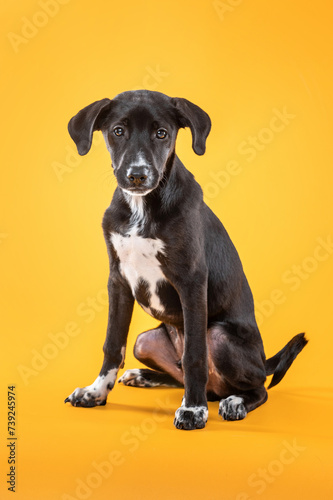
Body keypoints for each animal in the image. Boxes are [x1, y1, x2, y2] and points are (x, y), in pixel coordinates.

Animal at [63, 90, 308, 430]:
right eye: (118, 131)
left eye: (161, 133)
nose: (137, 175)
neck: (141, 208)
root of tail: (262, 361)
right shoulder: (118, 280)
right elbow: (113, 343)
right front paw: (96, 392)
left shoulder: (191, 281)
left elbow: (194, 355)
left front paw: (193, 409)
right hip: (146, 340)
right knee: (178, 372)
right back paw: (144, 376)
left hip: (220, 337)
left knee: (257, 386)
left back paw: (233, 402)